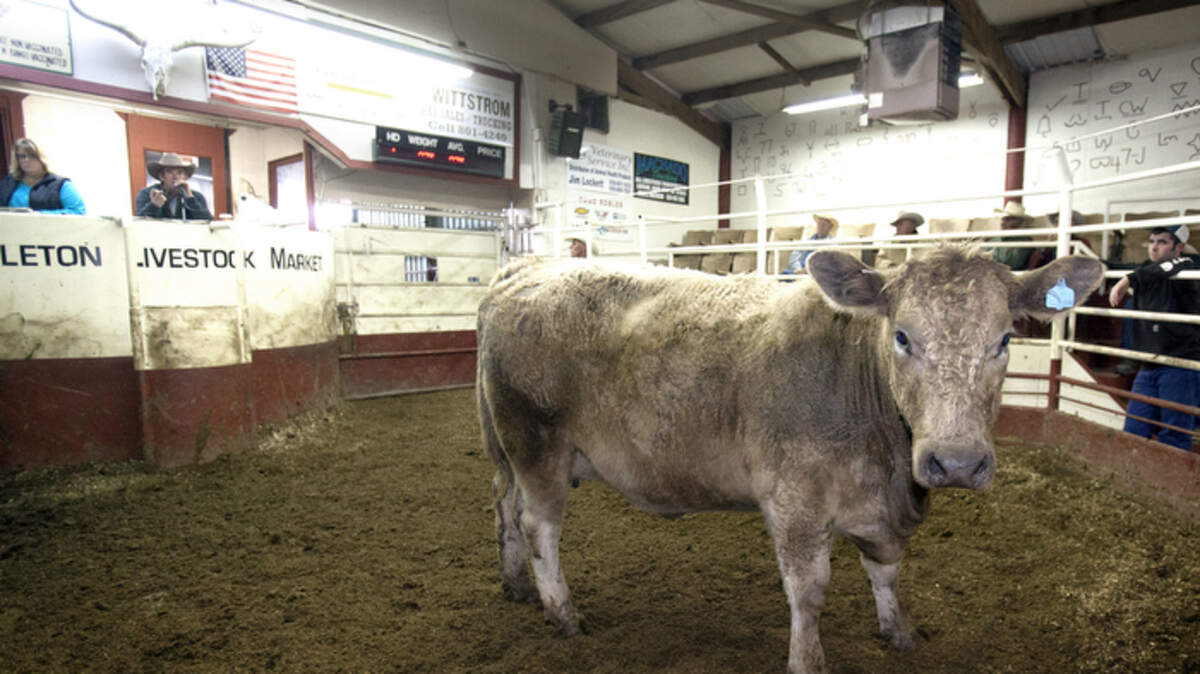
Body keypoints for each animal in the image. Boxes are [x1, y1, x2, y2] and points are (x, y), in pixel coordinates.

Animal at [475, 245, 1103, 672]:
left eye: (1004, 340)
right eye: (901, 336)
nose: (956, 463)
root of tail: (526, 268)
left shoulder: (881, 510)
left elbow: (886, 569)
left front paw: (899, 632)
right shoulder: (795, 499)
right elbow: (808, 588)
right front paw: (808, 660)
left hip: (509, 450)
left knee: (503, 505)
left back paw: (517, 585)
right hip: (537, 442)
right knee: (538, 524)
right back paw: (562, 612)